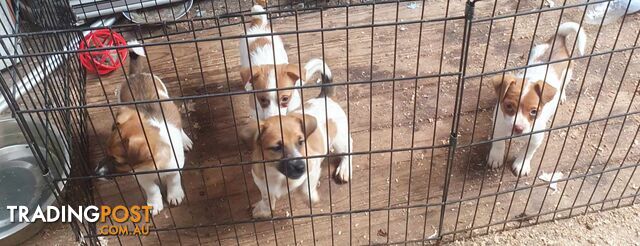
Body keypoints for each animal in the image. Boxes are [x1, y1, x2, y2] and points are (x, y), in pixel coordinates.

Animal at [95, 40, 192, 215]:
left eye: (117, 161)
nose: (95, 173)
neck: (152, 166)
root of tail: (137, 75)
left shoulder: (175, 167)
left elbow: (174, 180)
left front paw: (175, 194)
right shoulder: (141, 176)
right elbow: (152, 189)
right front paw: (154, 203)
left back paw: (185, 140)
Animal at [245, 85, 356, 218]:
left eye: (301, 142)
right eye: (277, 148)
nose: (301, 167)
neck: (278, 175)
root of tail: (325, 97)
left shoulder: (312, 165)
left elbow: (305, 189)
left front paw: (311, 198)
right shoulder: (259, 179)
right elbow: (266, 196)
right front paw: (264, 209)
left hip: (339, 139)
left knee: (348, 149)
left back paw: (344, 169)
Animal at [488, 22, 588, 177]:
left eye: (534, 111)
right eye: (509, 106)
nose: (518, 128)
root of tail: (558, 39)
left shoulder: (536, 138)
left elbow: (527, 152)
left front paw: (521, 164)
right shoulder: (498, 125)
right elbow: (498, 143)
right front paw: (495, 158)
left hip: (568, 73)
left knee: (563, 85)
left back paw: (561, 96)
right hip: (535, 51)